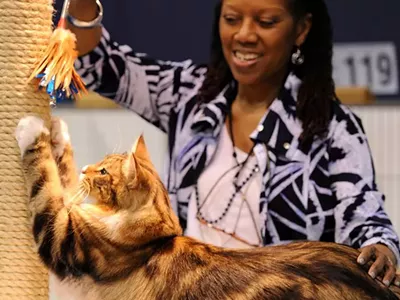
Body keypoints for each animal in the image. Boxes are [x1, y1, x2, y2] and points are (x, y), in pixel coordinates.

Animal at [14, 115, 398, 300]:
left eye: (104, 171)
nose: (87, 170)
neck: (153, 240)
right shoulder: (71, 214)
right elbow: (63, 175)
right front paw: (58, 130)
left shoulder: (59, 238)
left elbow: (46, 179)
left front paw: (32, 129)